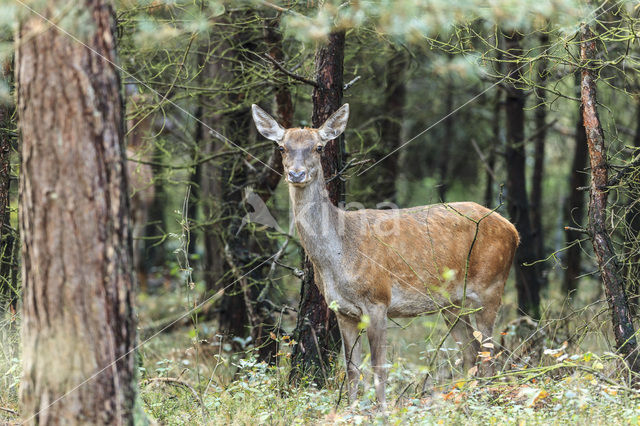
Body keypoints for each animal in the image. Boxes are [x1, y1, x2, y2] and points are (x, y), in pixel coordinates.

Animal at [251, 102, 520, 406]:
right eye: (282, 147)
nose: (296, 174)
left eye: (319, 147)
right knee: (471, 351)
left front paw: (381, 409)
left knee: (490, 354)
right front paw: (352, 408)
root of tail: (513, 230)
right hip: (452, 303)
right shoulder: (342, 311)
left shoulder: (378, 299)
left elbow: (379, 367)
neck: (339, 257)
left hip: (491, 285)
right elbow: (352, 370)